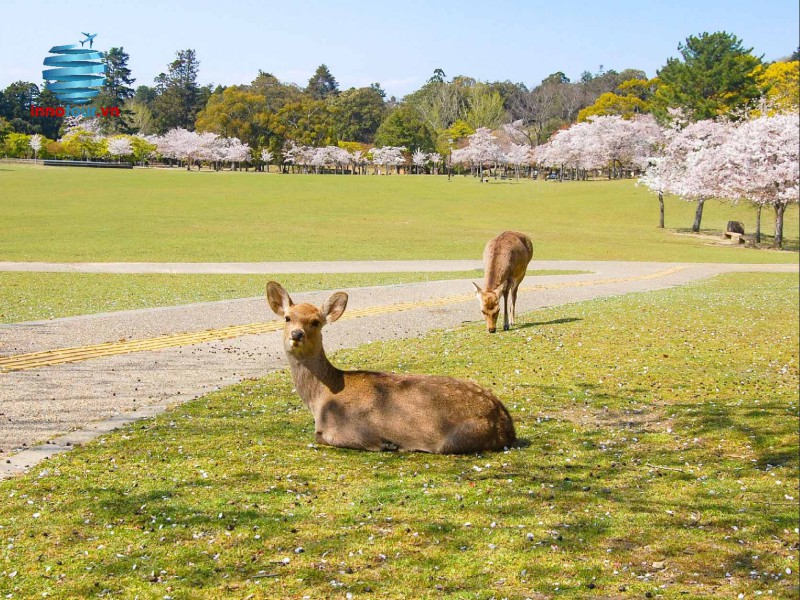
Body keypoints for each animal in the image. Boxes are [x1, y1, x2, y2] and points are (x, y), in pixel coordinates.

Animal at [266, 282, 516, 454]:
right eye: (287, 318)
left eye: (316, 321)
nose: (296, 334)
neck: (321, 400)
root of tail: (506, 426)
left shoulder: (346, 431)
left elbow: (322, 437)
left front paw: (387, 444)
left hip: (457, 437)